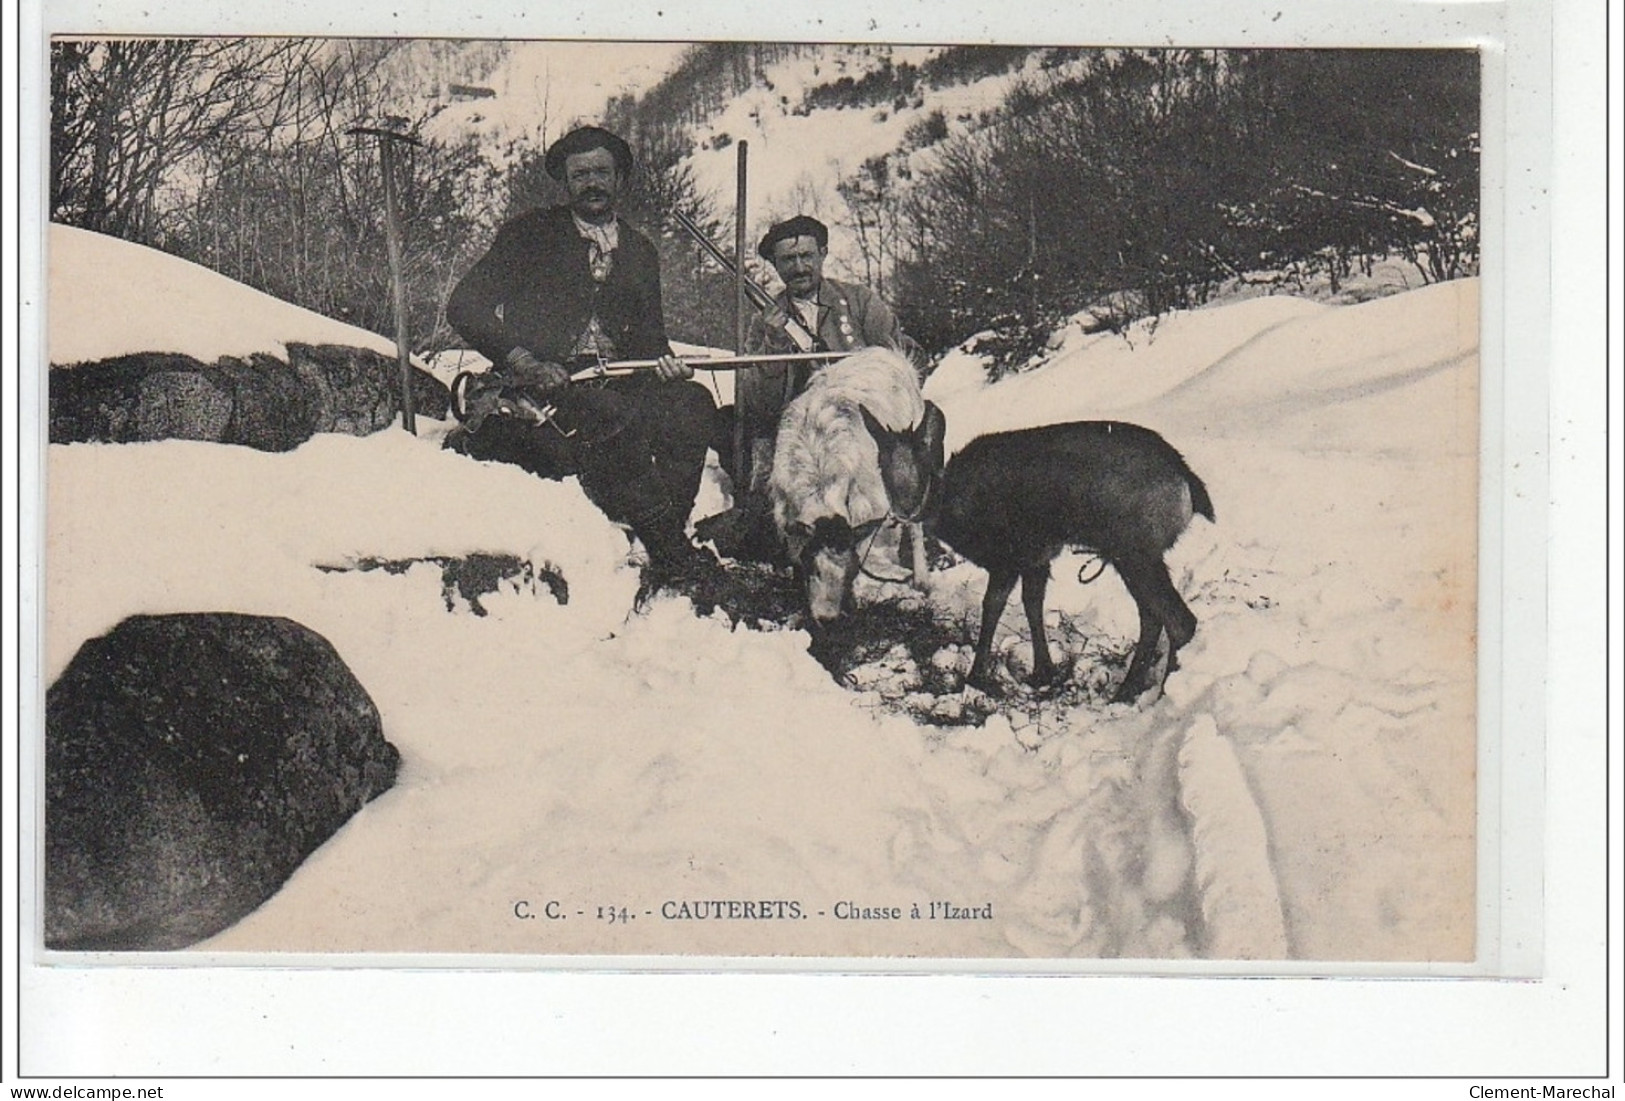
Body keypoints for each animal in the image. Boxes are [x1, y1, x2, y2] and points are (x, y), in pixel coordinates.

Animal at [770, 349, 936, 626]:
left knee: (915, 523)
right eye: (812, 566)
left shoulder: (867, 506)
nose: (827, 618)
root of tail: (886, 352)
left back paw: (922, 580)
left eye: (849, 571)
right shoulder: (784, 509)